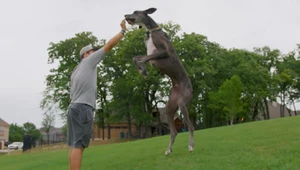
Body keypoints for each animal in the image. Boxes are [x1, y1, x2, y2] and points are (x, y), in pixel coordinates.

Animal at [124, 7, 195, 155]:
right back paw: (168, 150)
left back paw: (191, 145)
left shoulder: (163, 52)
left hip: (183, 103)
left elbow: (144, 58)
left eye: (135, 12)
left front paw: (143, 69)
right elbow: (136, 57)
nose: (125, 15)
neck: (151, 31)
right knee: (173, 132)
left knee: (191, 127)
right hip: (170, 107)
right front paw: (142, 71)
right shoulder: (150, 54)